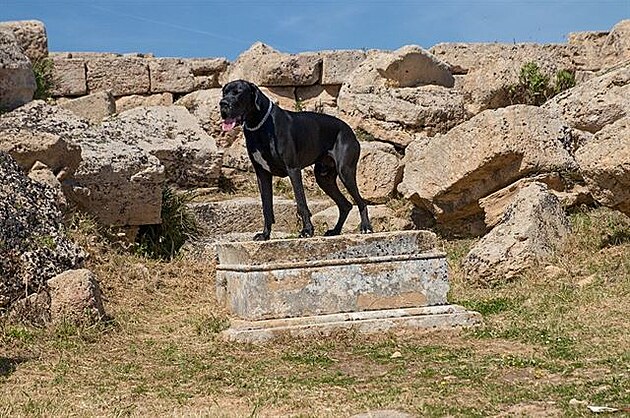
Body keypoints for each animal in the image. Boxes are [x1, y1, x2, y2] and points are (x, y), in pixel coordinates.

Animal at [221, 79, 372, 240]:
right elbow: (266, 207)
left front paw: (307, 231)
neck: (259, 125)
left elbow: (301, 202)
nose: (223, 103)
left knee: (360, 202)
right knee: (345, 205)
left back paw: (366, 227)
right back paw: (335, 231)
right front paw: (265, 234)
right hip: (323, 178)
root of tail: (349, 130)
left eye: (238, 92)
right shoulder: (262, 174)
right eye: (224, 92)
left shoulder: (293, 169)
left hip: (345, 172)